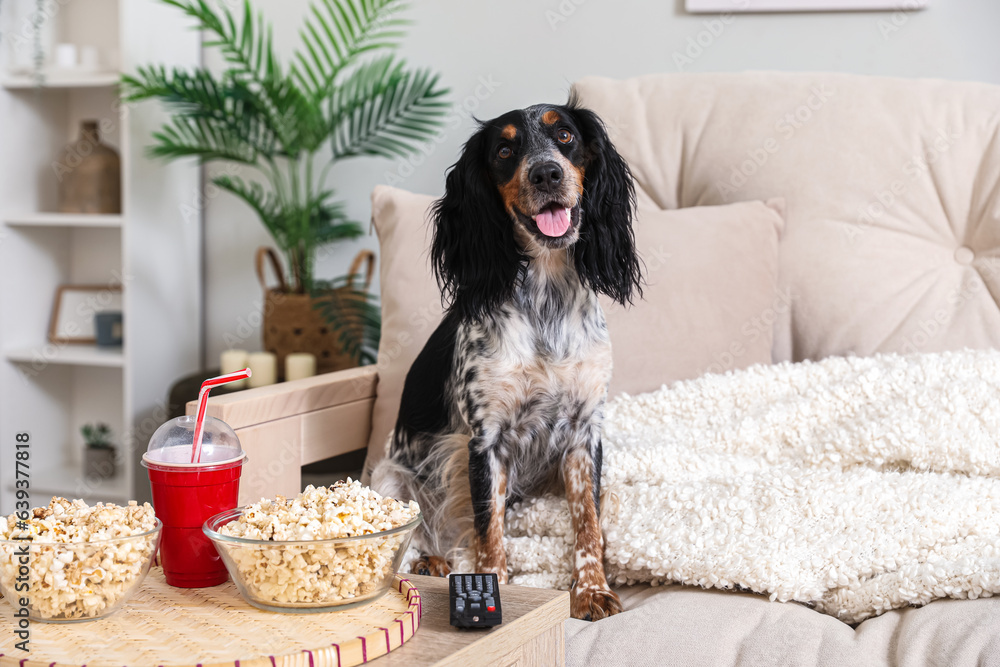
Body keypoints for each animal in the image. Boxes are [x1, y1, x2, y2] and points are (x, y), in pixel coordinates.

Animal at [374, 98, 640, 620]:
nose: (546, 173)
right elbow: (488, 530)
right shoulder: (486, 440)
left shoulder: (584, 434)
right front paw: (492, 584)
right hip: (390, 479)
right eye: (503, 149)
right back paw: (432, 561)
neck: (546, 300)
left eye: (565, 136)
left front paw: (591, 589)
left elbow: (588, 524)